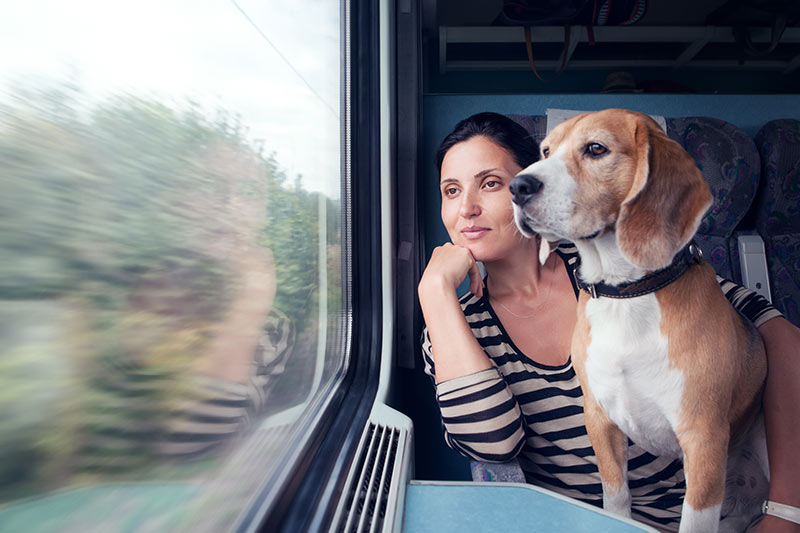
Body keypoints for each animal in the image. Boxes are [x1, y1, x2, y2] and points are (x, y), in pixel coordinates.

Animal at [510, 109, 764, 532]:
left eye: (596, 148)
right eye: (545, 150)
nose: (517, 186)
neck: (626, 294)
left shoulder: (704, 439)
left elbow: (695, 520)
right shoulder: (599, 418)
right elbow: (615, 497)